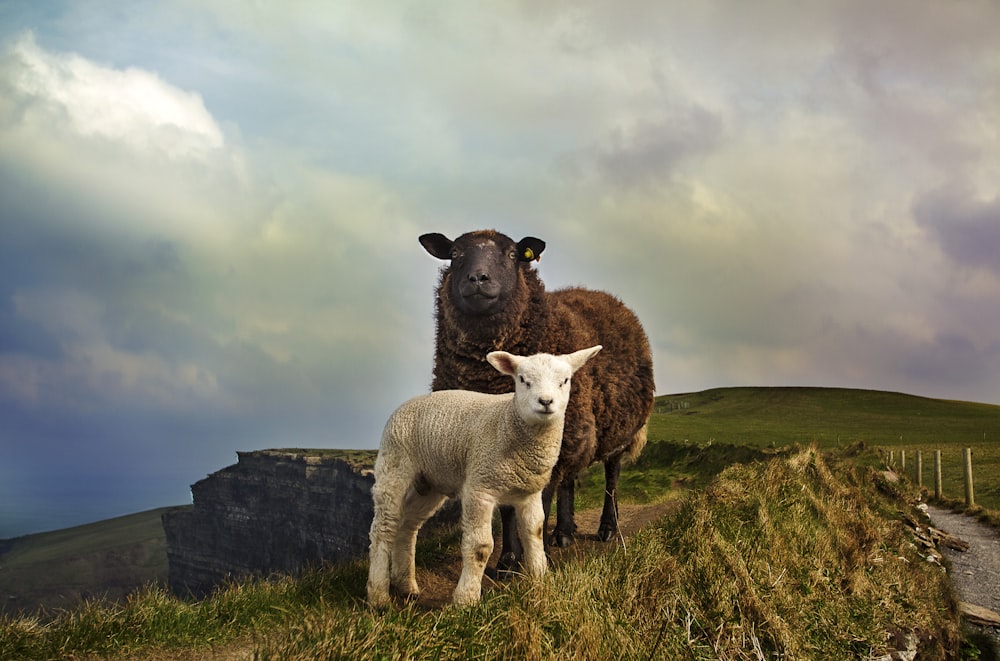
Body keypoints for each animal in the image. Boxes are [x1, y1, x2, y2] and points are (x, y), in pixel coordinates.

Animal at [368, 342, 600, 604]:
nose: (546, 401)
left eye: (565, 380)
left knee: (407, 526)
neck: (508, 422)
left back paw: (406, 585)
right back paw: (378, 595)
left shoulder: (529, 493)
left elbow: (535, 533)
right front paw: (466, 598)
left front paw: (541, 581)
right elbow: (480, 546)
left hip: (429, 483)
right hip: (394, 465)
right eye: (523, 380)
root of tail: (406, 404)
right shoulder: (480, 487)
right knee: (383, 528)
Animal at [416, 231, 656, 572]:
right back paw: (564, 533)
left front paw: (530, 561)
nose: (478, 278)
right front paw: (507, 561)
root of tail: (606, 296)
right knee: (570, 479)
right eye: (455, 253)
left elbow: (536, 505)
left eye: (513, 254)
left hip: (616, 429)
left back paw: (607, 528)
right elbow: (508, 509)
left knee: (612, 476)